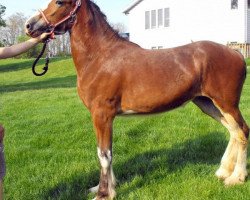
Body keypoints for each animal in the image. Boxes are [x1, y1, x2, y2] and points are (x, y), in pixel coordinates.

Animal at [25, 0, 248, 199]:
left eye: (59, 2)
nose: (29, 25)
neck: (100, 57)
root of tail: (236, 52)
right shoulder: (104, 118)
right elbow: (107, 152)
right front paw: (105, 187)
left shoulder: (102, 115)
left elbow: (104, 154)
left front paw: (104, 194)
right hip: (207, 103)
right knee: (233, 132)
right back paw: (223, 172)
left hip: (227, 104)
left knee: (242, 131)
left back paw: (236, 178)